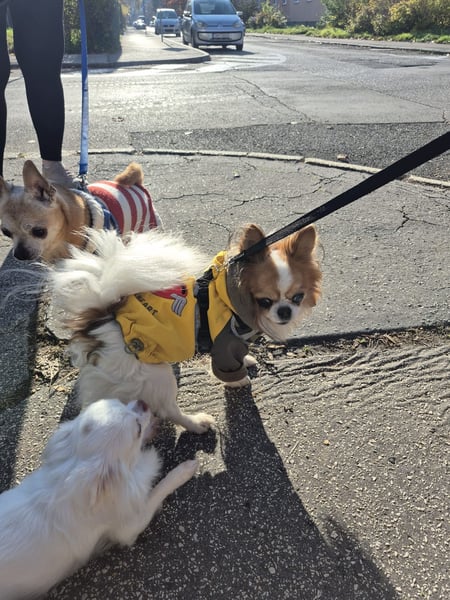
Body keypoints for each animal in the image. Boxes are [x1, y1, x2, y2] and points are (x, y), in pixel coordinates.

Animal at [0, 398, 198, 600]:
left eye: (120, 402)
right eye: (137, 429)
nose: (142, 402)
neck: (69, 472)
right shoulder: (130, 527)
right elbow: (159, 489)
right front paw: (184, 470)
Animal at [49, 224, 322, 433]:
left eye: (298, 297)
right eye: (264, 301)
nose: (284, 311)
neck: (230, 299)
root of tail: (101, 321)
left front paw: (248, 359)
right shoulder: (224, 345)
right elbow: (228, 369)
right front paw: (239, 380)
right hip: (155, 375)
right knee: (168, 408)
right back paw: (196, 423)